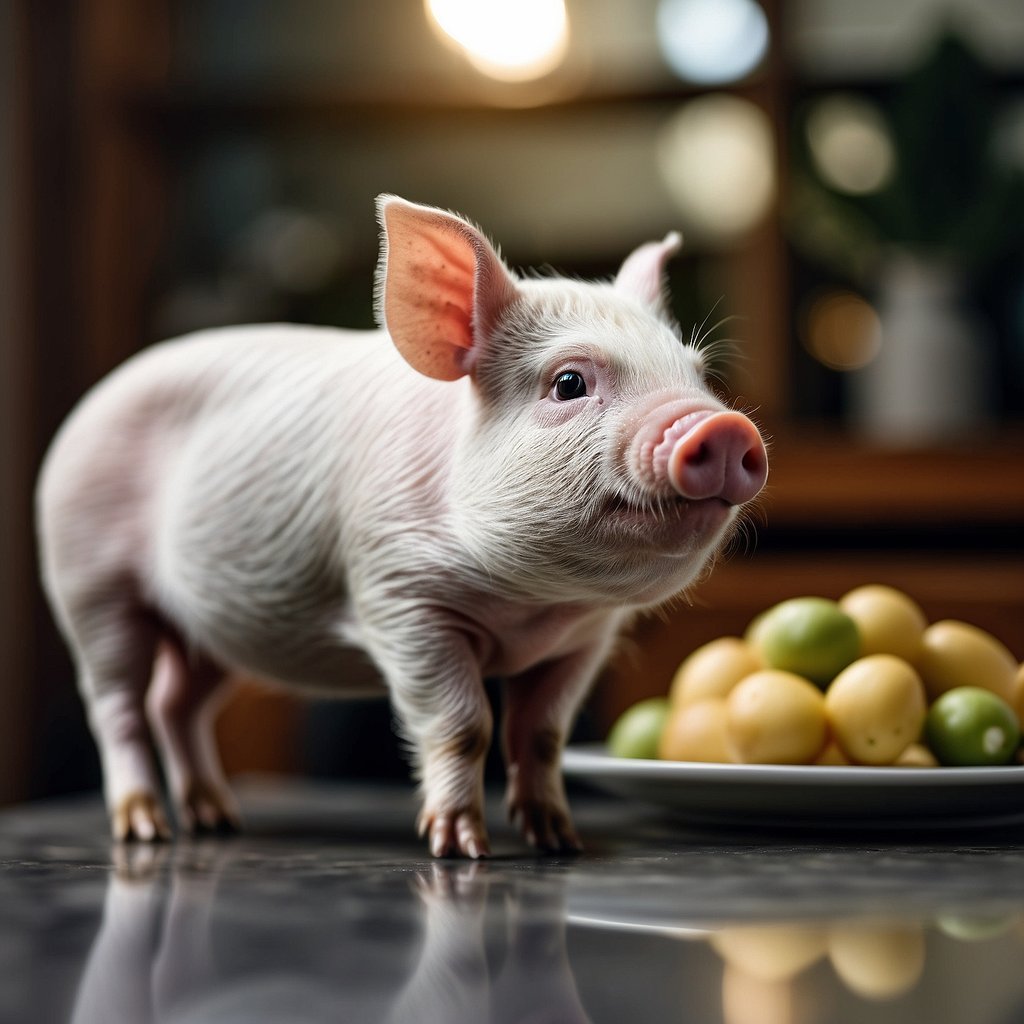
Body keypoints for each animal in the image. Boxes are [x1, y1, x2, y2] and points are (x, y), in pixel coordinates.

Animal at [36, 196, 768, 858]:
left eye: (698, 374)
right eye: (568, 383)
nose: (726, 426)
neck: (530, 605)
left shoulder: (584, 638)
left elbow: (541, 734)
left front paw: (560, 841)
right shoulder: (400, 597)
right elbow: (464, 724)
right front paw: (461, 849)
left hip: (213, 625)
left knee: (176, 704)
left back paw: (216, 820)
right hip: (89, 581)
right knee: (118, 705)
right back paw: (145, 829)